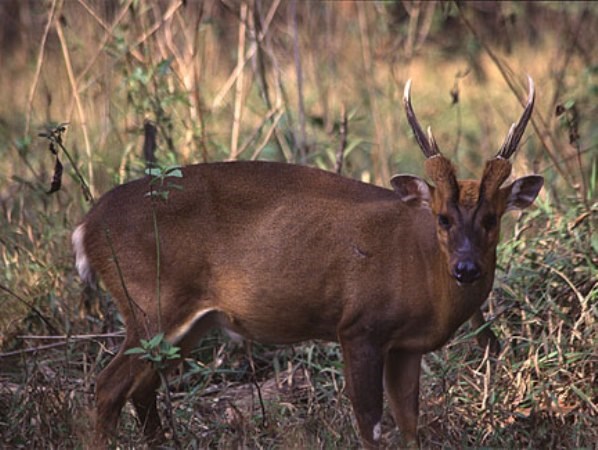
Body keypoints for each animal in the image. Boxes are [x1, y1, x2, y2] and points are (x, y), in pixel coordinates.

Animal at [72, 76, 548, 446]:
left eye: (491, 218)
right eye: (443, 218)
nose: (466, 268)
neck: (422, 270)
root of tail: (86, 226)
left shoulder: (406, 346)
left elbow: (410, 426)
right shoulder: (359, 326)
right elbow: (371, 426)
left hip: (187, 323)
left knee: (142, 389)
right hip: (150, 301)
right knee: (107, 386)